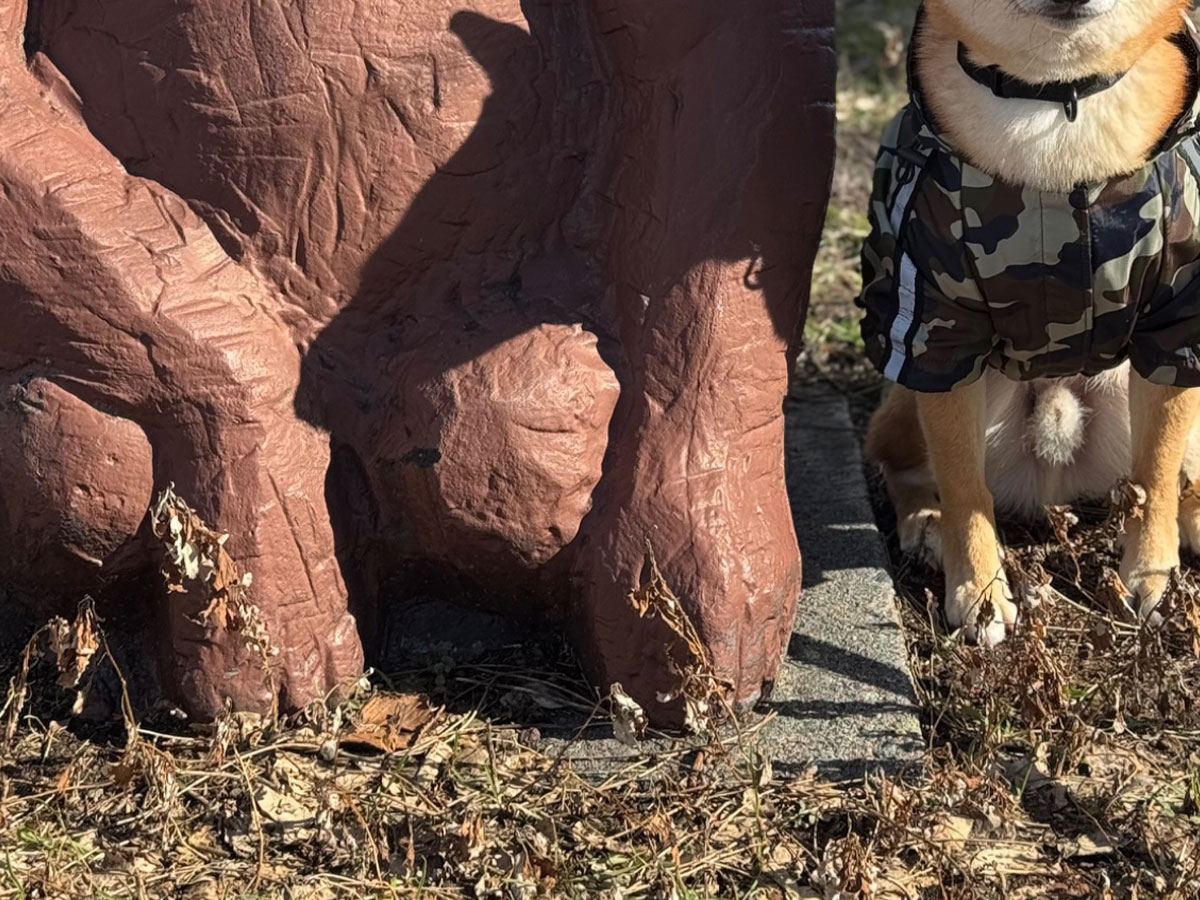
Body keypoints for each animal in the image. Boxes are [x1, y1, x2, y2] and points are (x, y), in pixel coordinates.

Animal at [859, 0, 1200, 648]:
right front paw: (980, 592)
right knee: (898, 462)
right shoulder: (937, 335)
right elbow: (964, 485)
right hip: (926, 401)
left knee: (1183, 468)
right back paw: (926, 523)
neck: (1055, 100)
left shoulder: (1177, 326)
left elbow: (1157, 470)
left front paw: (1150, 572)